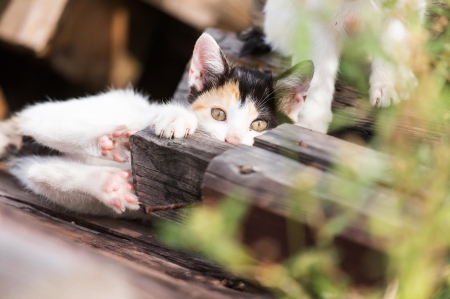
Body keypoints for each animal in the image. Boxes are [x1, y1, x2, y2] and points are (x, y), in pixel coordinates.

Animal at [0, 32, 314, 216]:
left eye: (259, 126)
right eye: (218, 114)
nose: (233, 141)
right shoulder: (149, 112)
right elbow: (166, 113)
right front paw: (177, 118)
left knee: (39, 171)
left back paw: (108, 179)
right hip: (94, 110)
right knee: (46, 123)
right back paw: (108, 142)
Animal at [241, 0, 424, 134]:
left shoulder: (402, 11)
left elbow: (390, 49)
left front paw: (387, 87)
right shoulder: (320, 23)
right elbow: (318, 76)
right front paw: (311, 123)